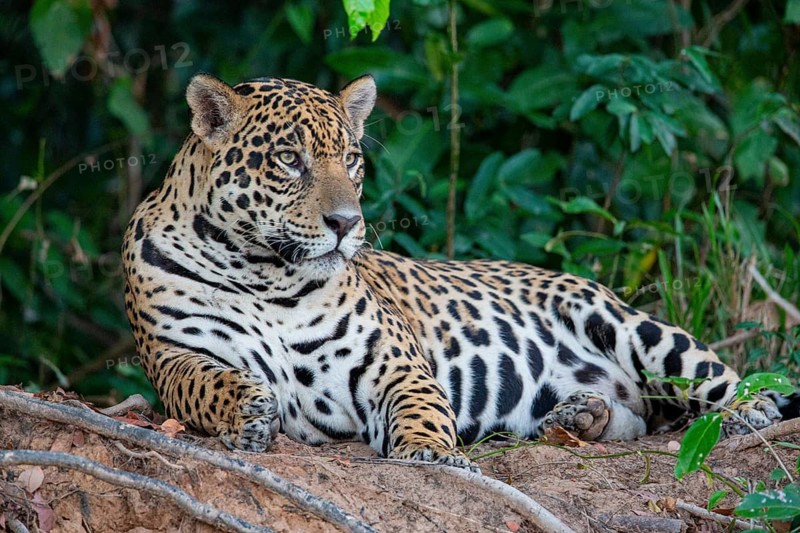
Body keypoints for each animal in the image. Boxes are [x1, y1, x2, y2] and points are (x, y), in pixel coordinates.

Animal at [122, 72, 797, 468]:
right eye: (289, 160)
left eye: (351, 159)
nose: (347, 223)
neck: (265, 272)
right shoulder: (171, 355)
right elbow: (209, 382)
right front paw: (249, 411)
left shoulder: (391, 360)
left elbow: (421, 406)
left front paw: (430, 453)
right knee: (638, 417)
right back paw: (581, 415)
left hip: (628, 323)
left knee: (724, 379)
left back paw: (745, 411)